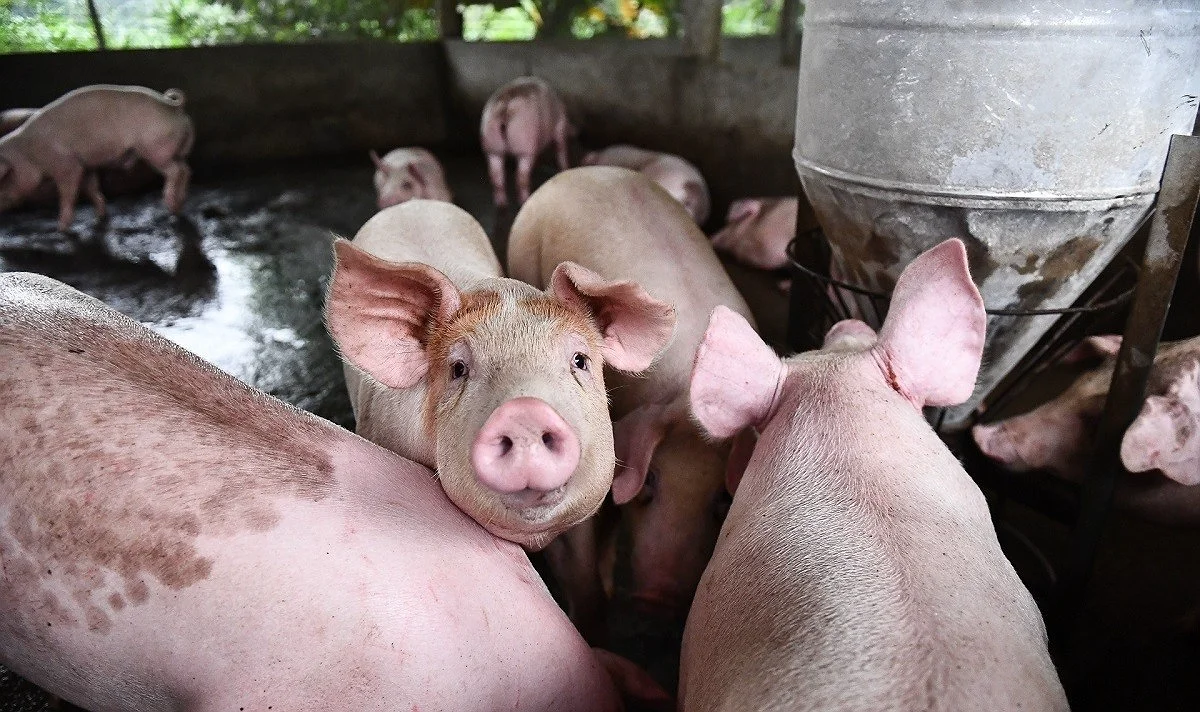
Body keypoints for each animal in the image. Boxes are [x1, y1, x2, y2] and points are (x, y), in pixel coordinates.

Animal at [0, 84, 194, 232]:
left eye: (4, 178)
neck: (29, 154)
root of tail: (172, 105)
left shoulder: (67, 165)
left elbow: (68, 194)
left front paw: (61, 228)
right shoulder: (86, 165)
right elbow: (92, 188)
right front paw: (101, 216)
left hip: (155, 149)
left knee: (176, 171)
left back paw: (170, 204)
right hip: (174, 150)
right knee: (186, 169)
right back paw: (179, 204)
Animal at [480, 76, 573, 207]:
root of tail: (505, 108)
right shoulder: (559, 128)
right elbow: (561, 151)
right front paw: (565, 169)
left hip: (492, 144)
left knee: (496, 176)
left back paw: (501, 204)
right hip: (524, 145)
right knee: (521, 178)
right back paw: (524, 200)